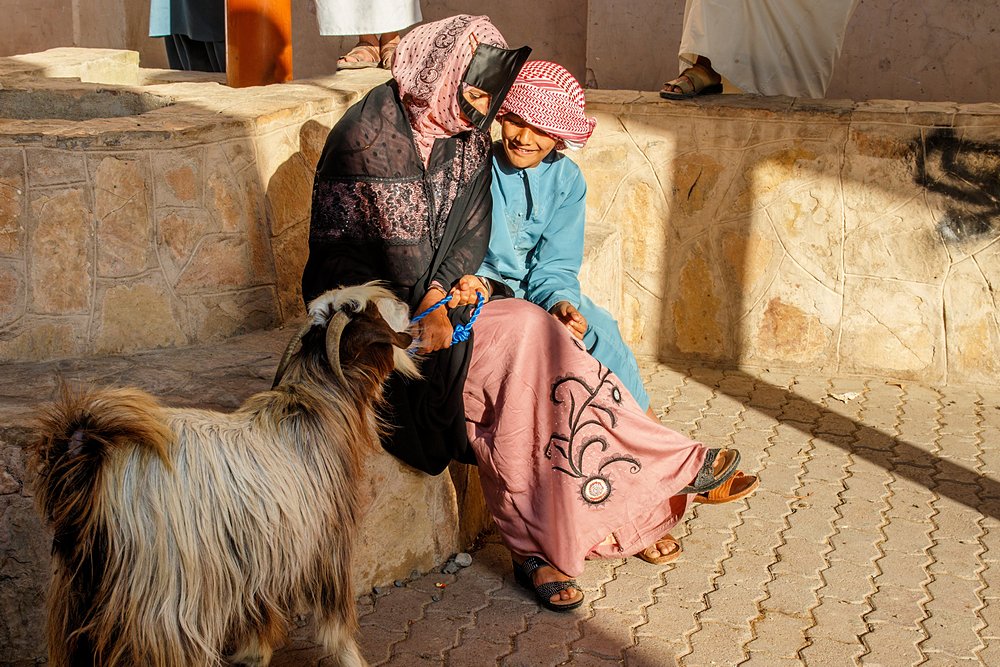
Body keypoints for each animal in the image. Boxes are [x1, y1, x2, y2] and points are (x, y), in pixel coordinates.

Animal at [28, 284, 418, 667]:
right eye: (371, 310)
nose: (406, 305)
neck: (313, 410)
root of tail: (86, 456)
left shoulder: (263, 554)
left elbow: (259, 611)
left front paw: (253, 653)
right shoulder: (326, 543)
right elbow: (334, 617)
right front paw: (350, 656)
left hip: (78, 593)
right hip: (163, 601)